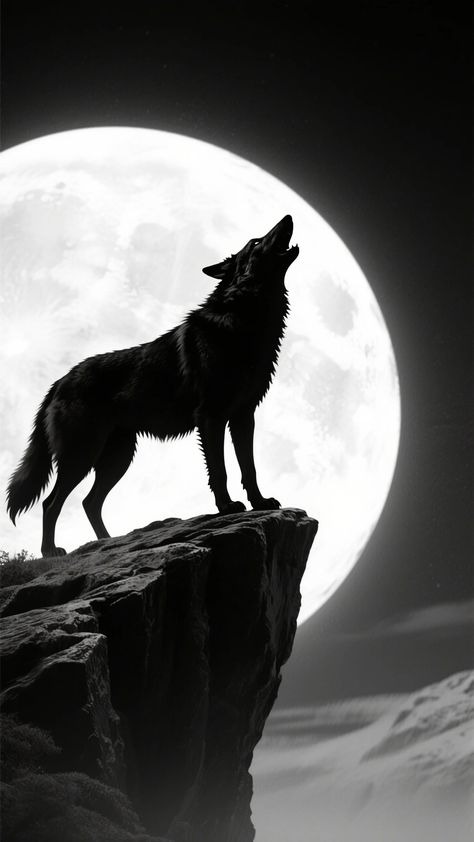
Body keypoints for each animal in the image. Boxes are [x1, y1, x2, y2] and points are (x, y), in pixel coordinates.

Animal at [6, 215, 299, 557]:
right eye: (255, 242)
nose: (288, 217)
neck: (245, 318)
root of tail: (57, 382)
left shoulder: (243, 417)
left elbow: (248, 468)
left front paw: (260, 502)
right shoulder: (211, 418)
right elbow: (220, 470)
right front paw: (227, 507)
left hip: (117, 459)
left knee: (89, 502)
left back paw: (107, 541)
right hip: (82, 456)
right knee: (51, 503)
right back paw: (51, 551)